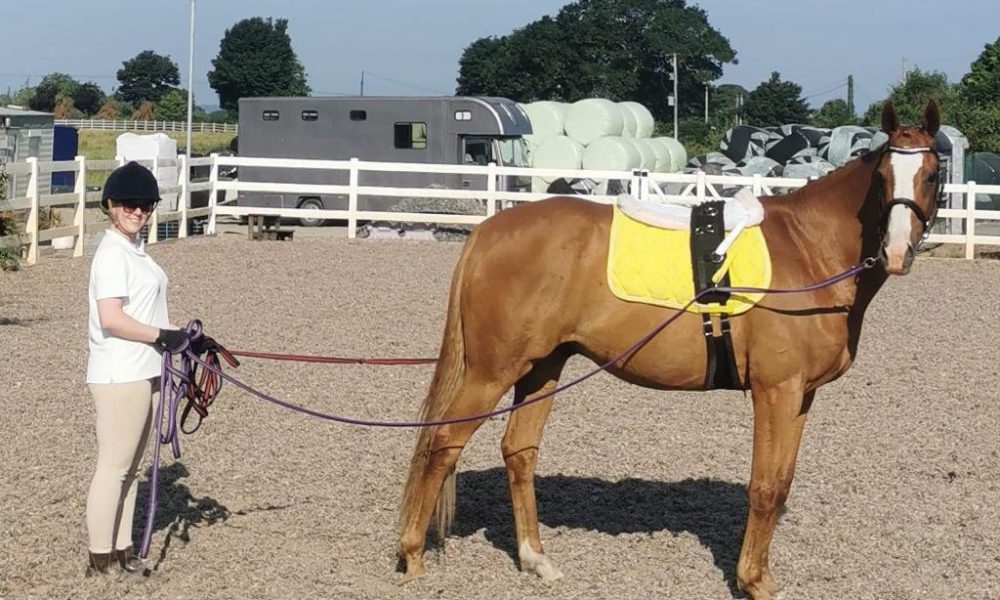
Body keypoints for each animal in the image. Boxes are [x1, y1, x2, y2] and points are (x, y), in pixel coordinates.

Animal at [396, 101, 936, 596]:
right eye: (883, 177)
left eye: (931, 174)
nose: (896, 252)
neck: (809, 251)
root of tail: (488, 232)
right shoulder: (775, 391)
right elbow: (763, 487)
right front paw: (753, 581)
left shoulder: (801, 396)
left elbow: (781, 482)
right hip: (492, 371)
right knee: (442, 443)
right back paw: (413, 555)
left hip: (542, 366)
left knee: (519, 450)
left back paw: (535, 558)